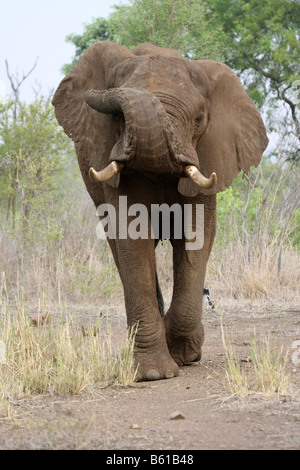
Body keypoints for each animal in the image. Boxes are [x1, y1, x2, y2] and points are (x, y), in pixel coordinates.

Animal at [52, 41, 270, 382]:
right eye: (117, 119)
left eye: (199, 118)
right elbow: (132, 237)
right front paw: (154, 373)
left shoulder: (208, 154)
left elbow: (197, 237)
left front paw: (184, 356)